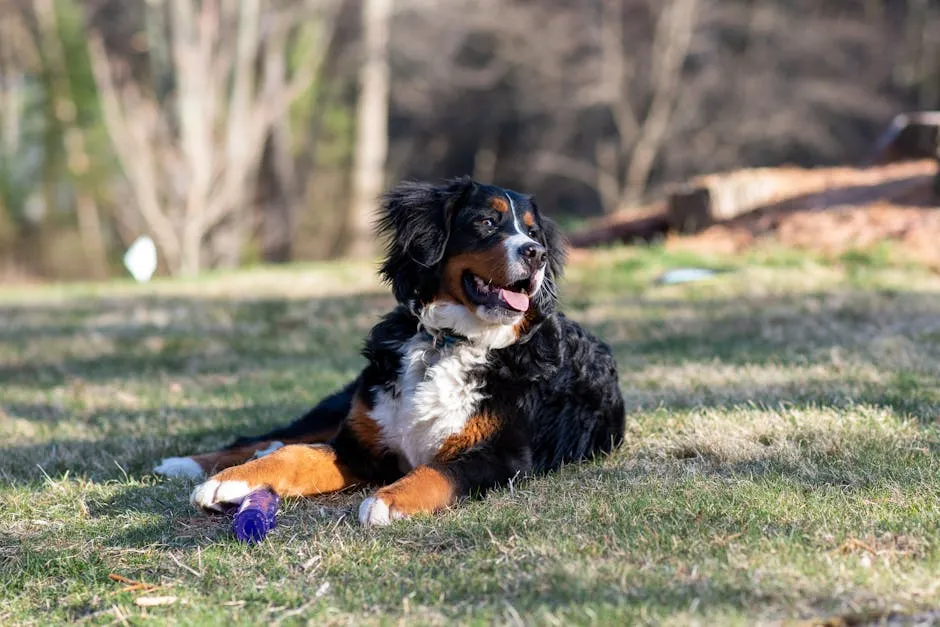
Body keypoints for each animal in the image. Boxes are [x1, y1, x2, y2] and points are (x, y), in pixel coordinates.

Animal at [154, 177, 624, 524]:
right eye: (487, 222)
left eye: (532, 231)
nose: (536, 253)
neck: (448, 342)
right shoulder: (359, 446)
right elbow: (296, 455)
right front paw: (230, 481)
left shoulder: (504, 456)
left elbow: (439, 471)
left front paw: (388, 500)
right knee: (270, 438)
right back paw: (187, 463)